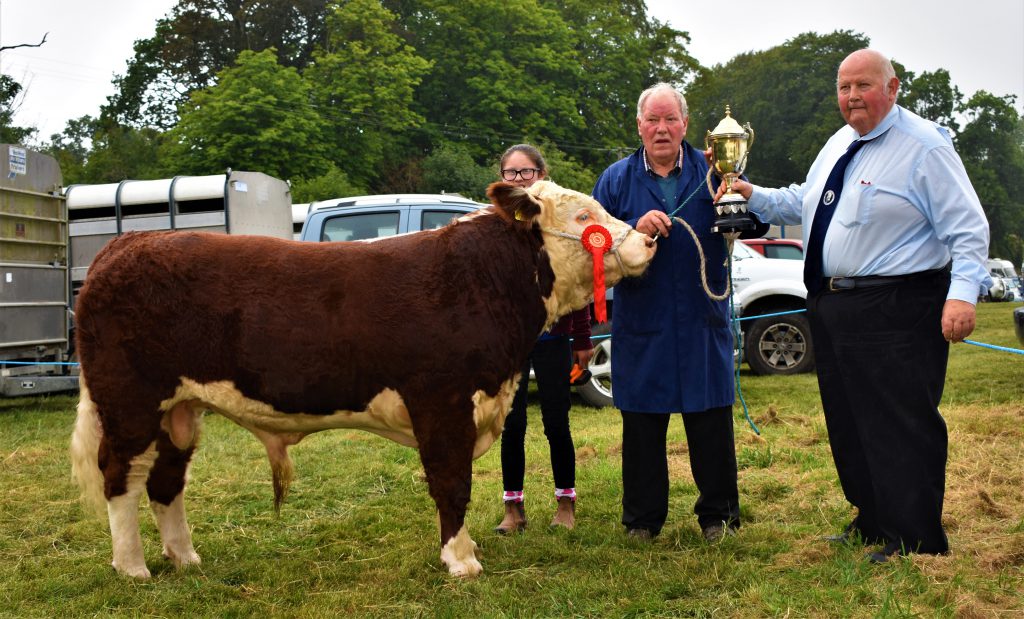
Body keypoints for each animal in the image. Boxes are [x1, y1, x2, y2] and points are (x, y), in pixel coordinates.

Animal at [70, 180, 656, 579]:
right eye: (584, 214)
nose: (647, 241)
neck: (483, 280)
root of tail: (126, 246)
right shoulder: (442, 402)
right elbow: (452, 483)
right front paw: (461, 561)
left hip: (179, 409)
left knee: (166, 481)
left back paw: (186, 558)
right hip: (130, 402)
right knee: (120, 477)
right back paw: (133, 566)